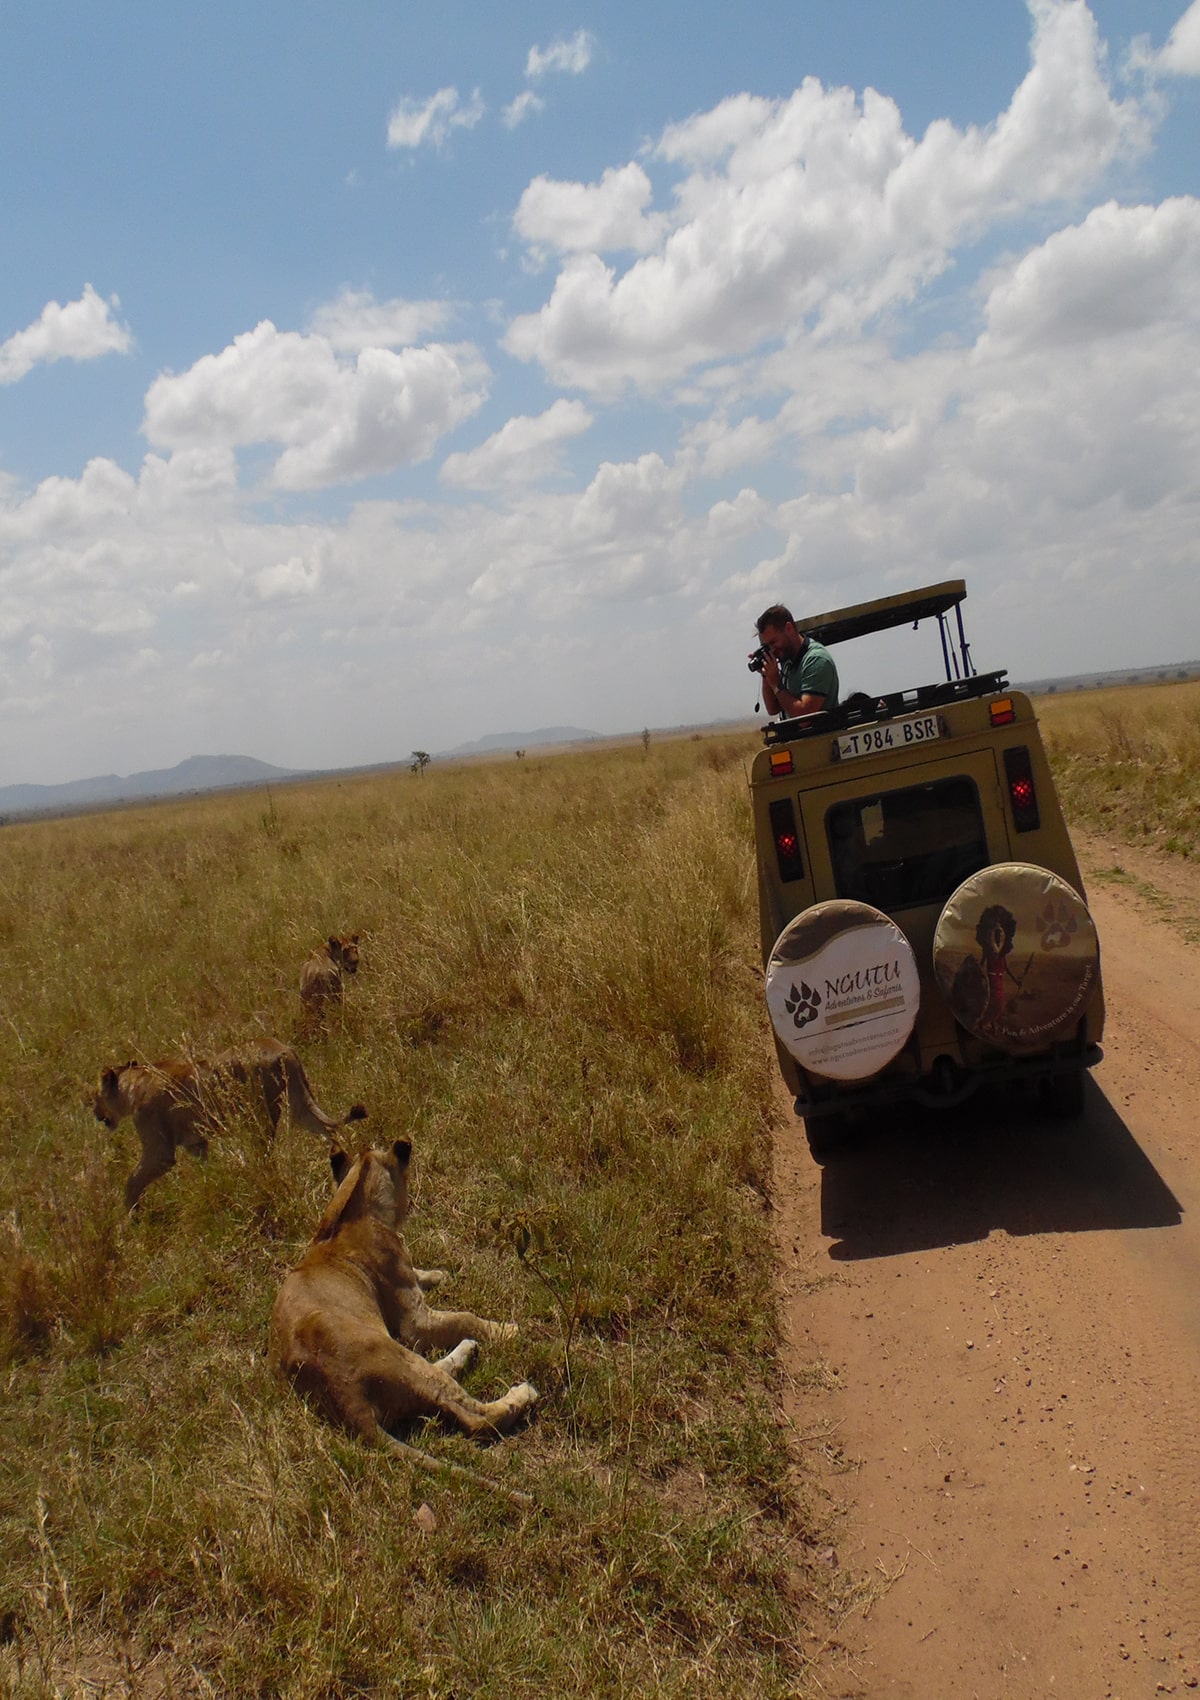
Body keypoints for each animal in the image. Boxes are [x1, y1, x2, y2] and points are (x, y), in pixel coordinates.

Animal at [90, 1033, 363, 1210]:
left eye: (95, 1096)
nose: (94, 1113)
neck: (134, 1084)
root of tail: (283, 1048)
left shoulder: (159, 1151)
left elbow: (133, 1180)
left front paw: (130, 1214)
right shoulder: (196, 1143)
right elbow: (205, 1168)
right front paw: (213, 1187)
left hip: (260, 1113)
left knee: (265, 1152)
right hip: (298, 1102)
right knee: (328, 1128)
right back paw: (343, 1161)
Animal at [271, 1135, 537, 1455]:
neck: (354, 1214)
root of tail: (347, 1399)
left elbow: (420, 1274)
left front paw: (439, 1274)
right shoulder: (416, 1322)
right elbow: (465, 1317)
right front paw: (507, 1330)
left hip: (406, 1361)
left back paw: (468, 1350)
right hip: (398, 1354)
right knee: (475, 1417)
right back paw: (523, 1393)